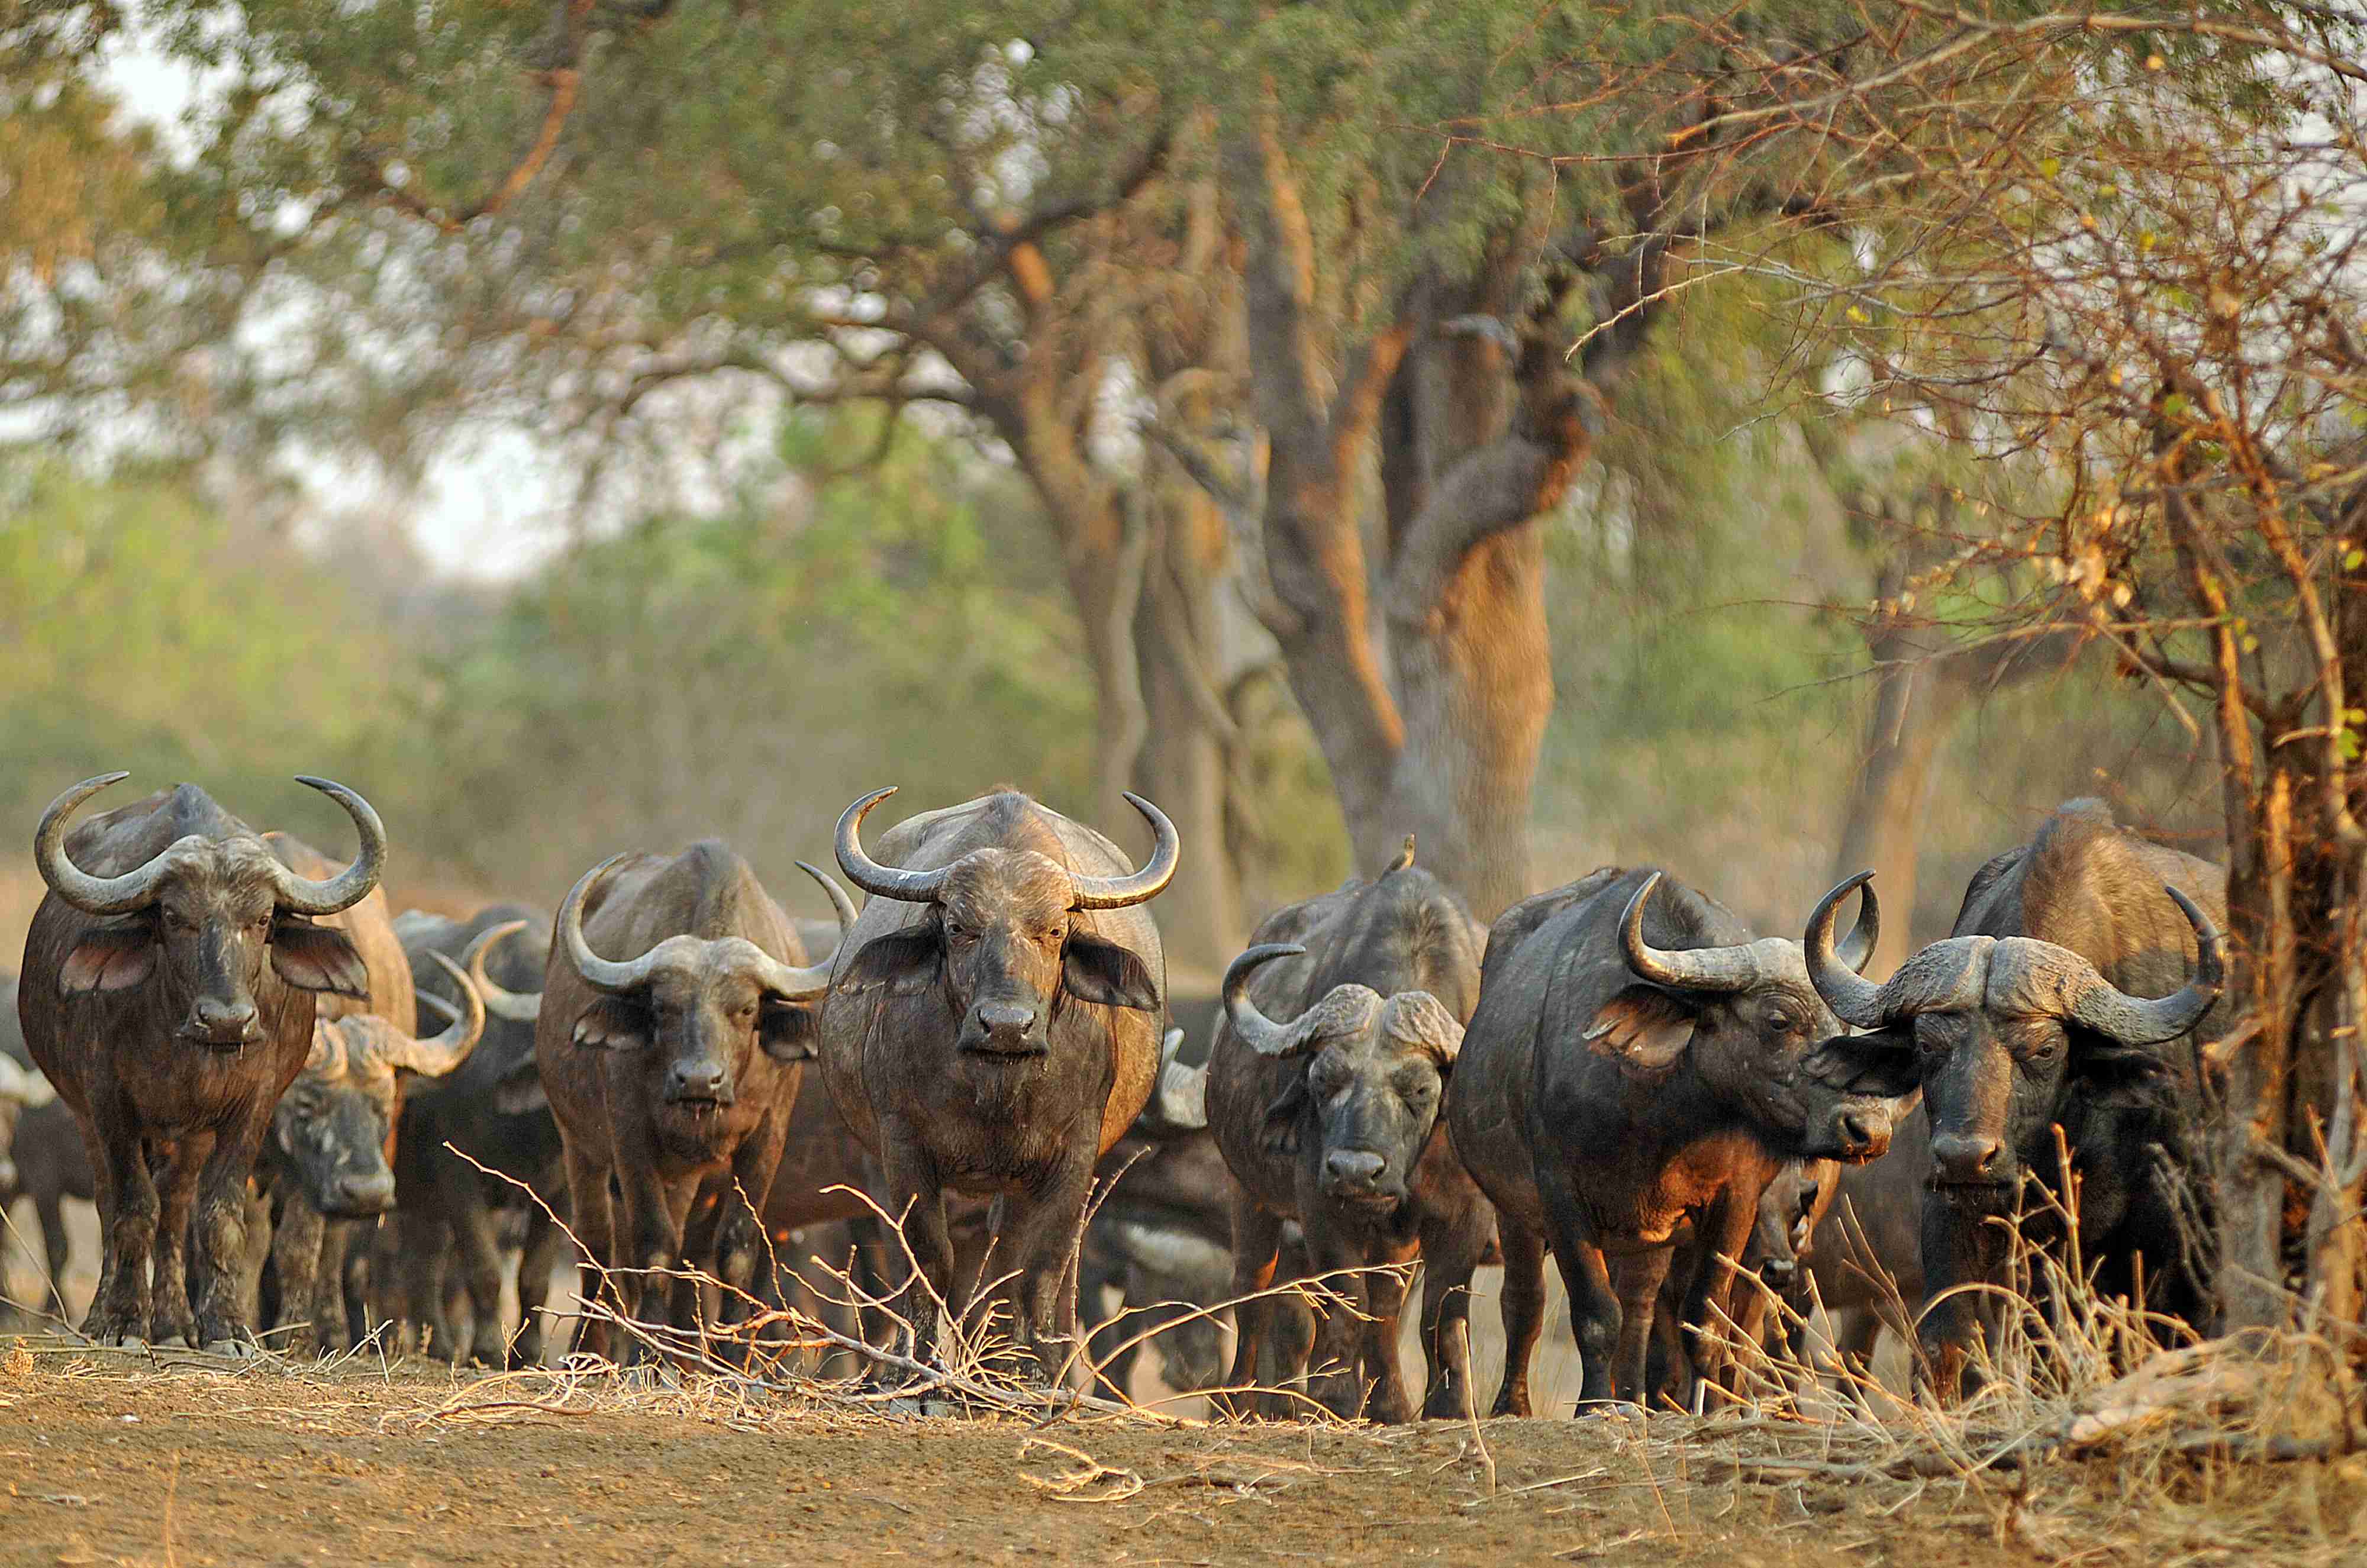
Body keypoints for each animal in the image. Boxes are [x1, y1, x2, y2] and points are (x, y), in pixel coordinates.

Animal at [19, 774, 386, 1351]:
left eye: (263, 919)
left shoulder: (253, 1107)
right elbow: (131, 1210)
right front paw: (125, 1322)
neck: (185, 1045)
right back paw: (106, 1318)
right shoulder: (108, 1102)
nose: (227, 1022)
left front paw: (225, 1329)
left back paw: (174, 1324)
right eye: (174, 917)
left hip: (189, 1136)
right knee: (112, 1204)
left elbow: (218, 1217)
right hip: (86, 1115)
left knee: (176, 1210)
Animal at [538, 842, 850, 1359]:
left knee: (692, 1255)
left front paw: (733, 1357)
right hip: (578, 1145)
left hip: (700, 1179)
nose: (699, 1081)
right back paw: (592, 1351)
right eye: (664, 1007)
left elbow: (737, 1249)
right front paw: (645, 1356)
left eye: (746, 1009)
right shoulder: (630, 1136)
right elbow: (652, 1247)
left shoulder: (767, 1138)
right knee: (598, 1244)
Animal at [822, 787, 1175, 1382]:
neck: (996, 1086)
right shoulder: (903, 1149)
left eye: (1054, 931)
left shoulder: (1072, 1158)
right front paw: (917, 1363)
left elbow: (1038, 1267)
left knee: (1023, 1269)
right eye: (958, 928)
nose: (1007, 1025)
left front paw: (1029, 1371)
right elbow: (928, 1257)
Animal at [1197, 850, 1493, 1422]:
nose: (1356, 1172)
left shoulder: (1465, 1215)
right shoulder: (1321, 1208)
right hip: (1249, 1196)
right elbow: (1344, 1302)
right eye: (1322, 1080)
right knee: (1253, 1295)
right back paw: (1238, 1401)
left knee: (1388, 1306)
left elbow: (1439, 1314)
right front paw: (1332, 1398)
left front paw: (1443, 1407)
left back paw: (1388, 1402)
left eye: (1421, 1088)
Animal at [1441, 866, 1917, 1412]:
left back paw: (1634, 1397)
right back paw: (1517, 1404)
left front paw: (1707, 1405)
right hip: (1515, 1209)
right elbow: (1595, 1313)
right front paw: (1594, 1407)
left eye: (1841, 1024)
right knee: (1526, 1302)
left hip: (1650, 1238)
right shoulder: (1561, 1198)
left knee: (1641, 1305)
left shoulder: (1735, 1203)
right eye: (1779, 1020)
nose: (1869, 1130)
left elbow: (1704, 1319)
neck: (1659, 1121)